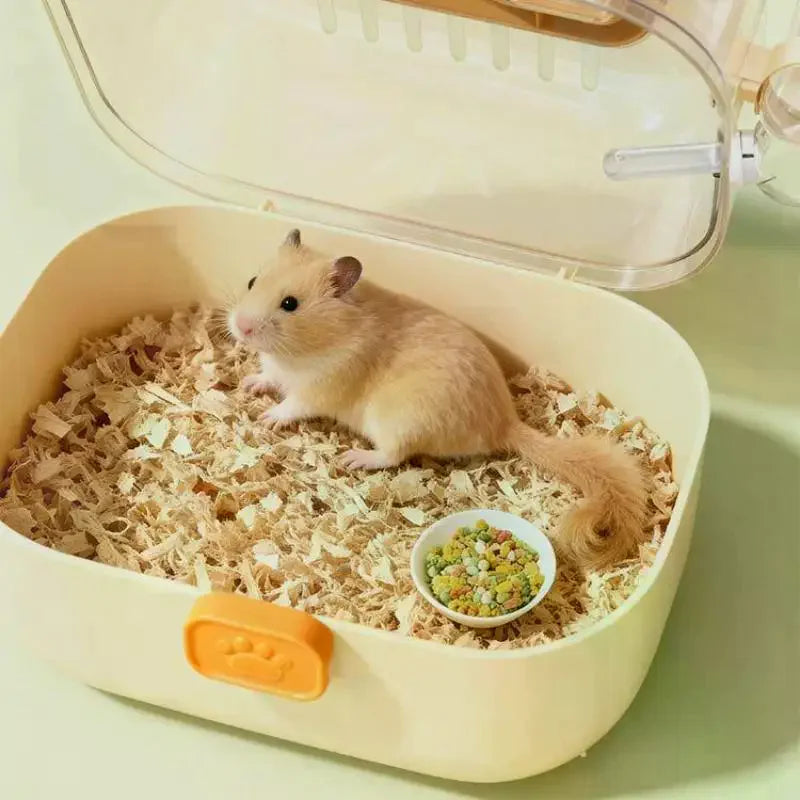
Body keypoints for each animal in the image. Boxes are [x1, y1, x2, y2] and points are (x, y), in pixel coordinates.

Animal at [228, 229, 648, 571]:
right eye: (251, 281)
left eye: (290, 304)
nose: (240, 328)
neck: (309, 346)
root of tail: (505, 424)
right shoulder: (277, 370)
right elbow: (267, 377)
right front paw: (248, 384)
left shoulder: (319, 389)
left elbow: (291, 406)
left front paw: (266, 418)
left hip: (397, 423)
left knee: (392, 455)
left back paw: (354, 458)